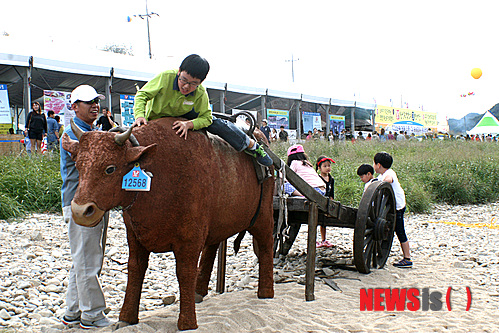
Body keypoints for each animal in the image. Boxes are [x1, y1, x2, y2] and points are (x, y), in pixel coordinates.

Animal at [62, 116, 276, 330]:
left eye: (110, 168)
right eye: (78, 166)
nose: (80, 211)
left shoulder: (190, 239)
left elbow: (185, 272)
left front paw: (187, 322)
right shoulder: (135, 235)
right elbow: (135, 269)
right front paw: (126, 318)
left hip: (263, 216)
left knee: (266, 246)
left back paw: (265, 292)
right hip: (219, 222)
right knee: (212, 247)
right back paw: (198, 292)